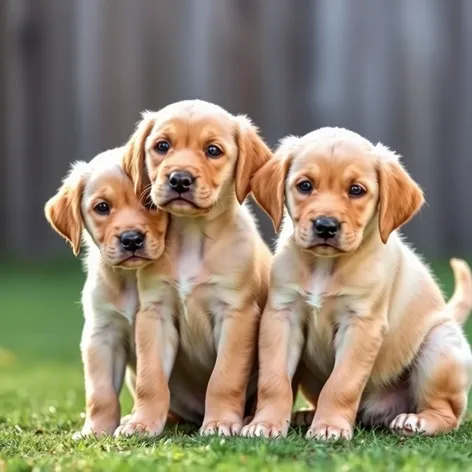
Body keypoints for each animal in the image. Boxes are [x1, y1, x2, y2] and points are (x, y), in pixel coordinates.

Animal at [42, 148, 168, 438]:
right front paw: (95, 431)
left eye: (151, 202)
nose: (131, 239)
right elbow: (101, 394)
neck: (131, 278)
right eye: (102, 207)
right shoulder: (102, 334)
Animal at [115, 100, 274, 438]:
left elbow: (224, 377)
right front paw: (142, 422)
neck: (192, 236)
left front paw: (220, 422)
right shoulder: (155, 313)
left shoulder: (237, 314)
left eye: (213, 150)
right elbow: (151, 379)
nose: (179, 179)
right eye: (162, 146)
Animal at [243, 127, 472, 440]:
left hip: (439, 347)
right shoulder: (281, 315)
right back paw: (306, 415)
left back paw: (416, 421)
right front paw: (266, 423)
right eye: (305, 186)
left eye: (356, 190)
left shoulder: (362, 324)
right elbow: (274, 379)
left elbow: (342, 382)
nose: (325, 226)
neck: (324, 266)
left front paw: (329, 426)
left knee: (448, 413)